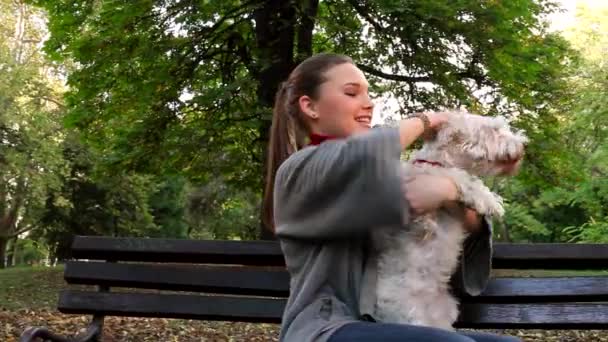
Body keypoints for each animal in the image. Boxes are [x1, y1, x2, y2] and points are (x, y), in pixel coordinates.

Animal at [370, 112, 528, 332]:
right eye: (493, 130)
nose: (523, 144)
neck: (438, 161)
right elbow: (459, 177)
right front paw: (490, 201)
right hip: (408, 315)